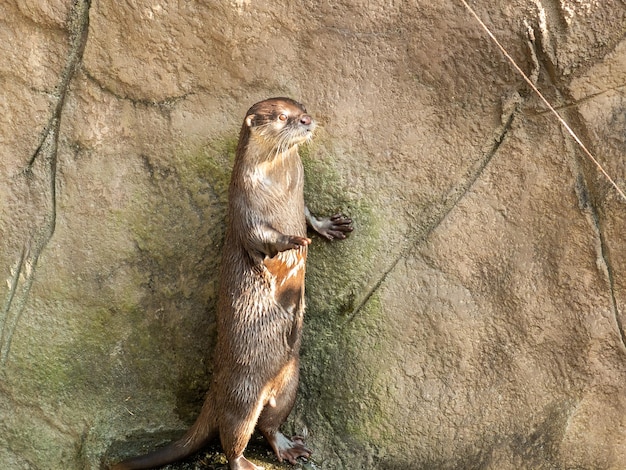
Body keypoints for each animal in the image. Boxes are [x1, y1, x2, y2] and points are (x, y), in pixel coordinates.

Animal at [111, 96, 352, 470]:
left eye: (301, 108)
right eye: (282, 117)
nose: (306, 120)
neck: (279, 184)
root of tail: (216, 386)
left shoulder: (298, 198)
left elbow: (307, 214)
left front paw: (328, 225)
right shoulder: (244, 205)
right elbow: (261, 237)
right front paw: (293, 241)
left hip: (289, 381)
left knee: (269, 424)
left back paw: (287, 447)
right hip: (243, 392)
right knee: (233, 433)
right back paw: (244, 463)